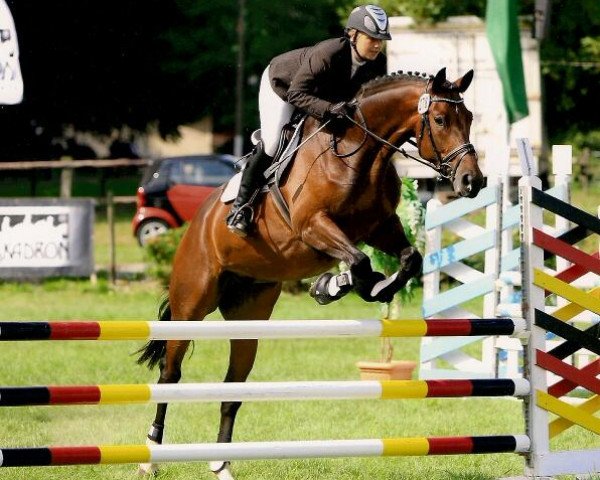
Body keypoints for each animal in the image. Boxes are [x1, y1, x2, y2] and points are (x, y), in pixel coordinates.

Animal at [136, 68, 482, 480]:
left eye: (470, 118)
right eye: (441, 120)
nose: (472, 182)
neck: (359, 154)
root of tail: (194, 228)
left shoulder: (380, 227)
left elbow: (407, 259)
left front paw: (344, 286)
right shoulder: (313, 226)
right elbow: (360, 263)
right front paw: (337, 284)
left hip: (248, 317)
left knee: (233, 385)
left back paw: (222, 465)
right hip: (191, 305)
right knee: (169, 376)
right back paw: (150, 457)